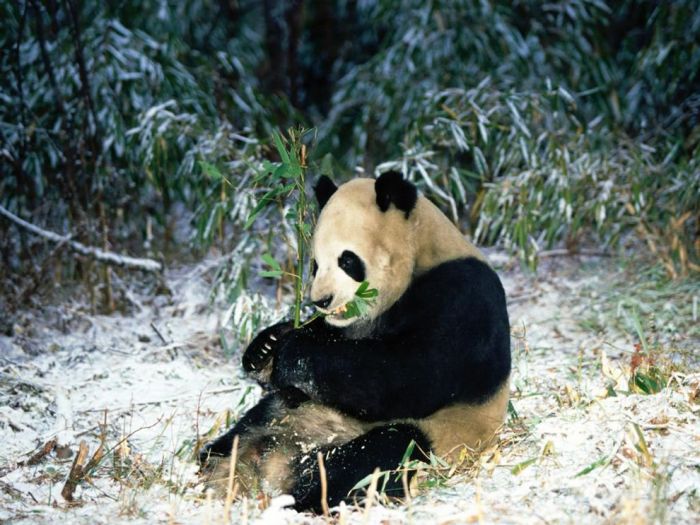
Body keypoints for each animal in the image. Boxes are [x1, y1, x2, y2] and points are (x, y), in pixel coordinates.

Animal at [200, 172, 512, 512]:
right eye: (315, 264)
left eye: (347, 261)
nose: (321, 300)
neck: (421, 255)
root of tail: (279, 465)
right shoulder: (345, 328)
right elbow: (322, 342)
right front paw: (265, 348)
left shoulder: (462, 296)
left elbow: (413, 375)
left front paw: (291, 352)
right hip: (279, 415)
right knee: (240, 434)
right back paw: (215, 469)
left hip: (434, 437)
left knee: (378, 455)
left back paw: (307, 501)